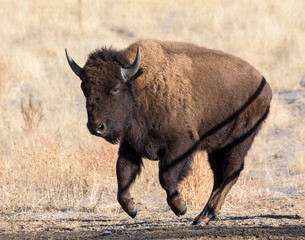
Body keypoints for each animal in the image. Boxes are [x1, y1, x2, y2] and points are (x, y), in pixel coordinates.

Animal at [66, 39, 270, 225]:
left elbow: (165, 176)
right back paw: (202, 217)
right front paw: (132, 209)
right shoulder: (130, 145)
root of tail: (265, 86)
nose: (96, 127)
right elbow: (123, 176)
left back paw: (206, 215)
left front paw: (180, 207)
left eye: (115, 88)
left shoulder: (181, 145)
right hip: (217, 148)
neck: (138, 86)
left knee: (231, 173)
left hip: (240, 142)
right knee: (219, 177)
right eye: (85, 89)